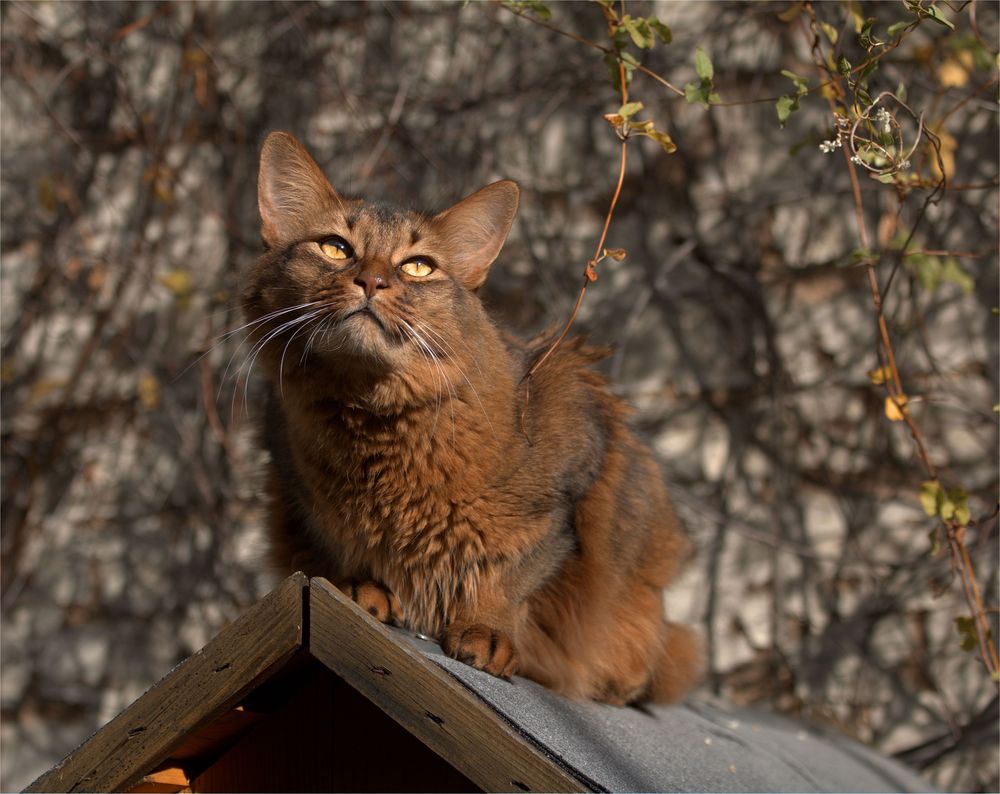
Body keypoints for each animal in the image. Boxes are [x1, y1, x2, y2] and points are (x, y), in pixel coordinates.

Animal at [239, 131, 700, 704]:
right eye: (335, 248)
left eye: (417, 266)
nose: (371, 280)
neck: (374, 426)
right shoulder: (298, 492)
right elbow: (342, 546)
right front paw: (361, 585)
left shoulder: (567, 488)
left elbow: (509, 575)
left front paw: (487, 629)